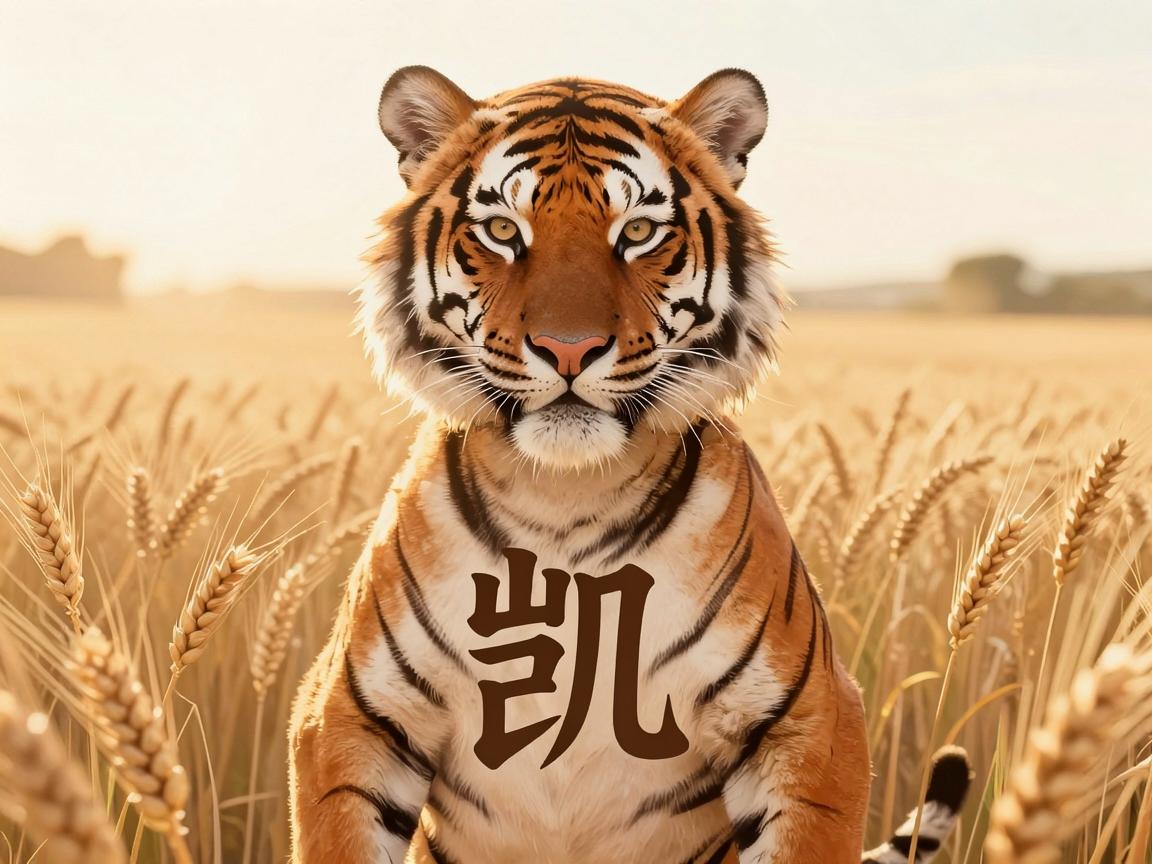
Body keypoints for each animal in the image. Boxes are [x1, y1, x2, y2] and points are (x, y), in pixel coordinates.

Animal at [288, 66, 972, 864]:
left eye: (638, 233)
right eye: (502, 230)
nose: (569, 349)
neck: (563, 494)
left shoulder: (812, 722)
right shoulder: (349, 716)